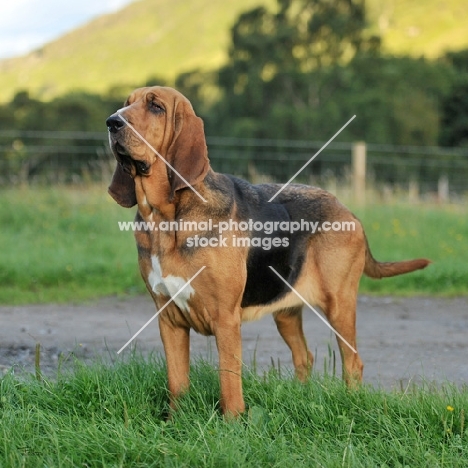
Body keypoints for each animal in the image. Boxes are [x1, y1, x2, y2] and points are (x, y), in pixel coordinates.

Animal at [105, 86, 428, 414]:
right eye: (126, 104)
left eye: (156, 107)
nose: (112, 122)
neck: (166, 218)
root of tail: (347, 211)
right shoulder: (169, 320)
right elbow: (177, 382)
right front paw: (175, 420)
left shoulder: (225, 320)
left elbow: (229, 381)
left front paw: (233, 421)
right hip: (286, 313)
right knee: (304, 357)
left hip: (339, 306)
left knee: (353, 363)